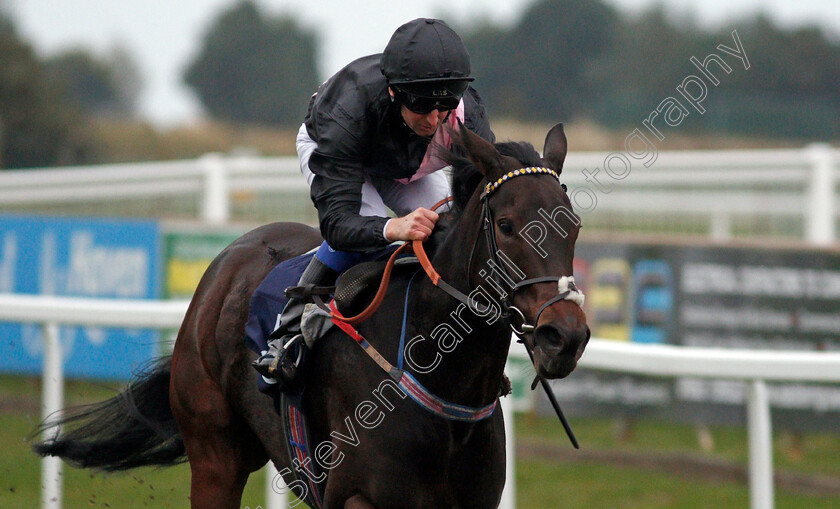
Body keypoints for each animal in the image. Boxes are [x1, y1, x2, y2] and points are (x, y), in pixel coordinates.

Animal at [36, 124, 592, 508]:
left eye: (573, 224)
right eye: (507, 225)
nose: (564, 336)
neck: (435, 372)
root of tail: (227, 259)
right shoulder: (360, 498)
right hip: (215, 454)